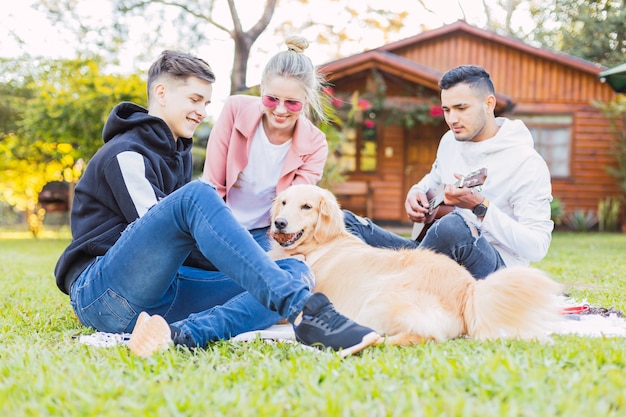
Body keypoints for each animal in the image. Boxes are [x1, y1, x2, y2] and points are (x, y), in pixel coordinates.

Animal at [266, 183, 560, 344]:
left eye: (307, 207)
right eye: (284, 202)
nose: (279, 222)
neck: (321, 243)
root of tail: (469, 289)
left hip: (378, 303)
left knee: (422, 335)